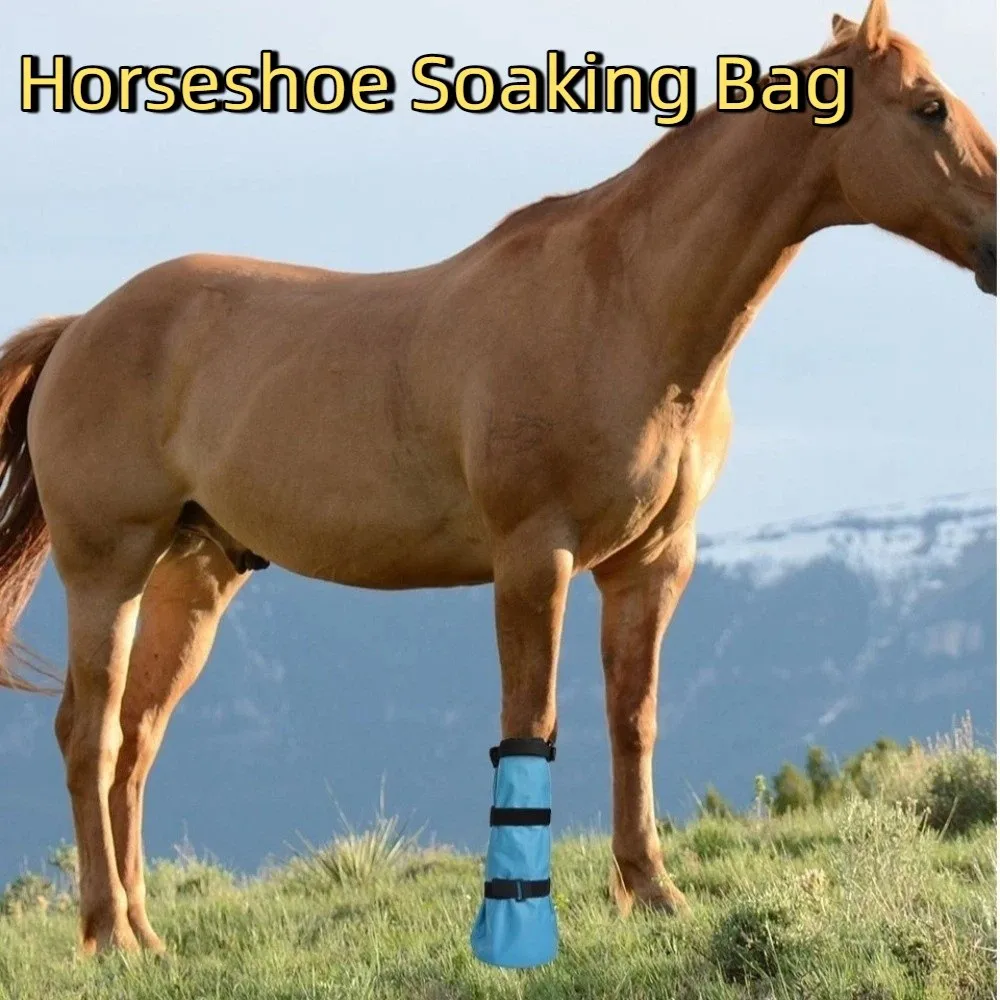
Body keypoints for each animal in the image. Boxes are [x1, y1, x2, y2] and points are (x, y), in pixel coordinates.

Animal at [0, 0, 994, 955]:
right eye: (929, 106)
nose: (998, 241)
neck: (621, 307)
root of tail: (83, 325)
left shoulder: (652, 564)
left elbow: (633, 721)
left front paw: (653, 892)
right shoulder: (533, 558)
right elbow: (534, 721)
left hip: (194, 577)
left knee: (135, 742)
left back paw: (144, 932)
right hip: (109, 569)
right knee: (89, 737)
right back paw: (106, 934)